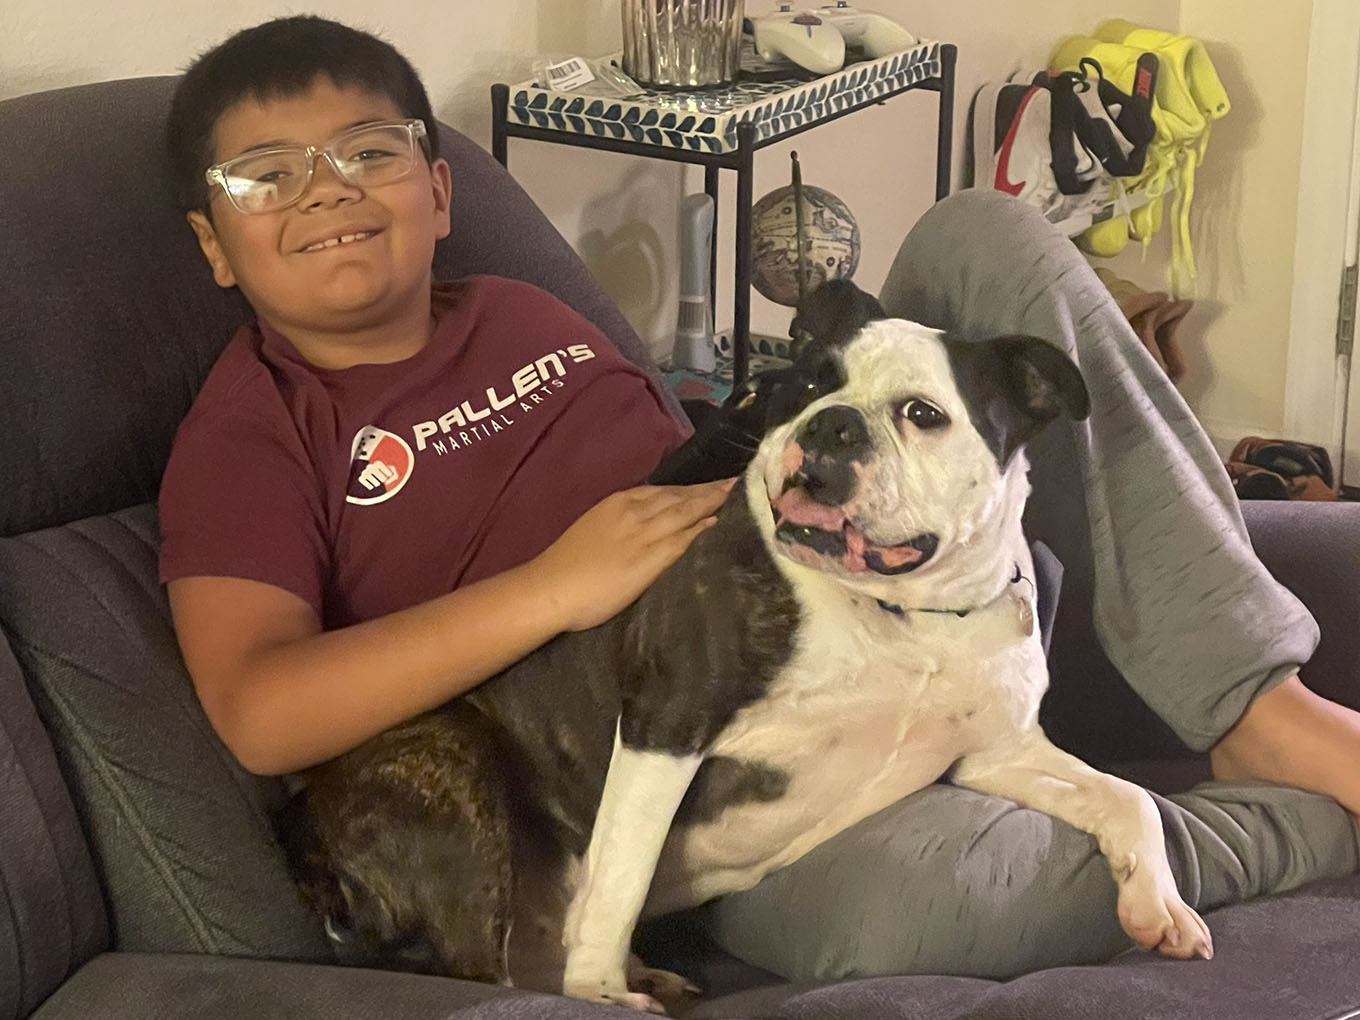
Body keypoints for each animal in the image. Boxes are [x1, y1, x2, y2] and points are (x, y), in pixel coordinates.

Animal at [284, 281, 1213, 1017]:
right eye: (806, 384)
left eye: (923, 414)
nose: (832, 424)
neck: (905, 615)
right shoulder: (667, 725)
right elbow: (624, 874)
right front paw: (601, 988)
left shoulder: (996, 753)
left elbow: (1128, 797)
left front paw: (1159, 907)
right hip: (458, 786)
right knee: (493, 970)